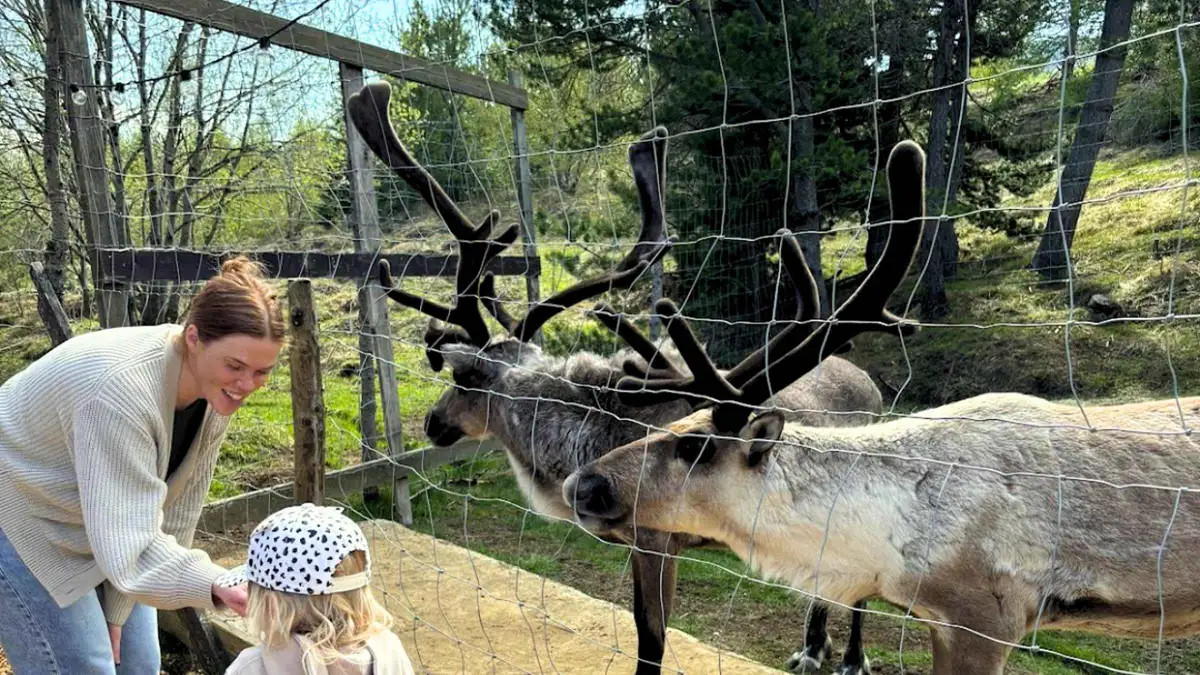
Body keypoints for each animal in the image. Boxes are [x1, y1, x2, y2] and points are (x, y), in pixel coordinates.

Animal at [345, 80, 897, 674]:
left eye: (464, 377)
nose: (432, 421)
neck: (583, 442)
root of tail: (871, 382)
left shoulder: (657, 539)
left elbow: (650, 638)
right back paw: (813, 646)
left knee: (861, 591)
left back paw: (850, 657)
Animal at [564, 139, 1200, 675]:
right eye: (671, 422)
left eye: (695, 445)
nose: (582, 484)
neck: (887, 531)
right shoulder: (940, 620)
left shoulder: (988, 619)